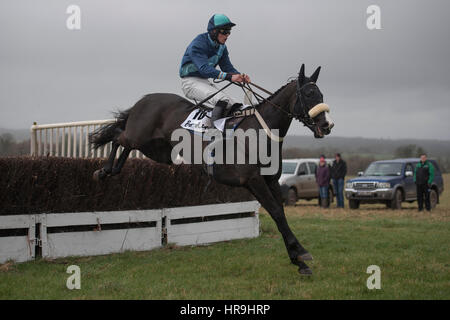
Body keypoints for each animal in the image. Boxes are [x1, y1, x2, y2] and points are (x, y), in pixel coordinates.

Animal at [89, 65, 334, 276]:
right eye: (309, 94)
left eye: (321, 95)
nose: (327, 125)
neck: (259, 132)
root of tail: (145, 99)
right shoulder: (253, 180)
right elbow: (275, 212)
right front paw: (301, 253)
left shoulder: (271, 180)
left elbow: (280, 214)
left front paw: (298, 260)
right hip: (139, 136)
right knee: (117, 136)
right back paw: (102, 171)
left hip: (156, 150)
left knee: (124, 145)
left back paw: (110, 171)